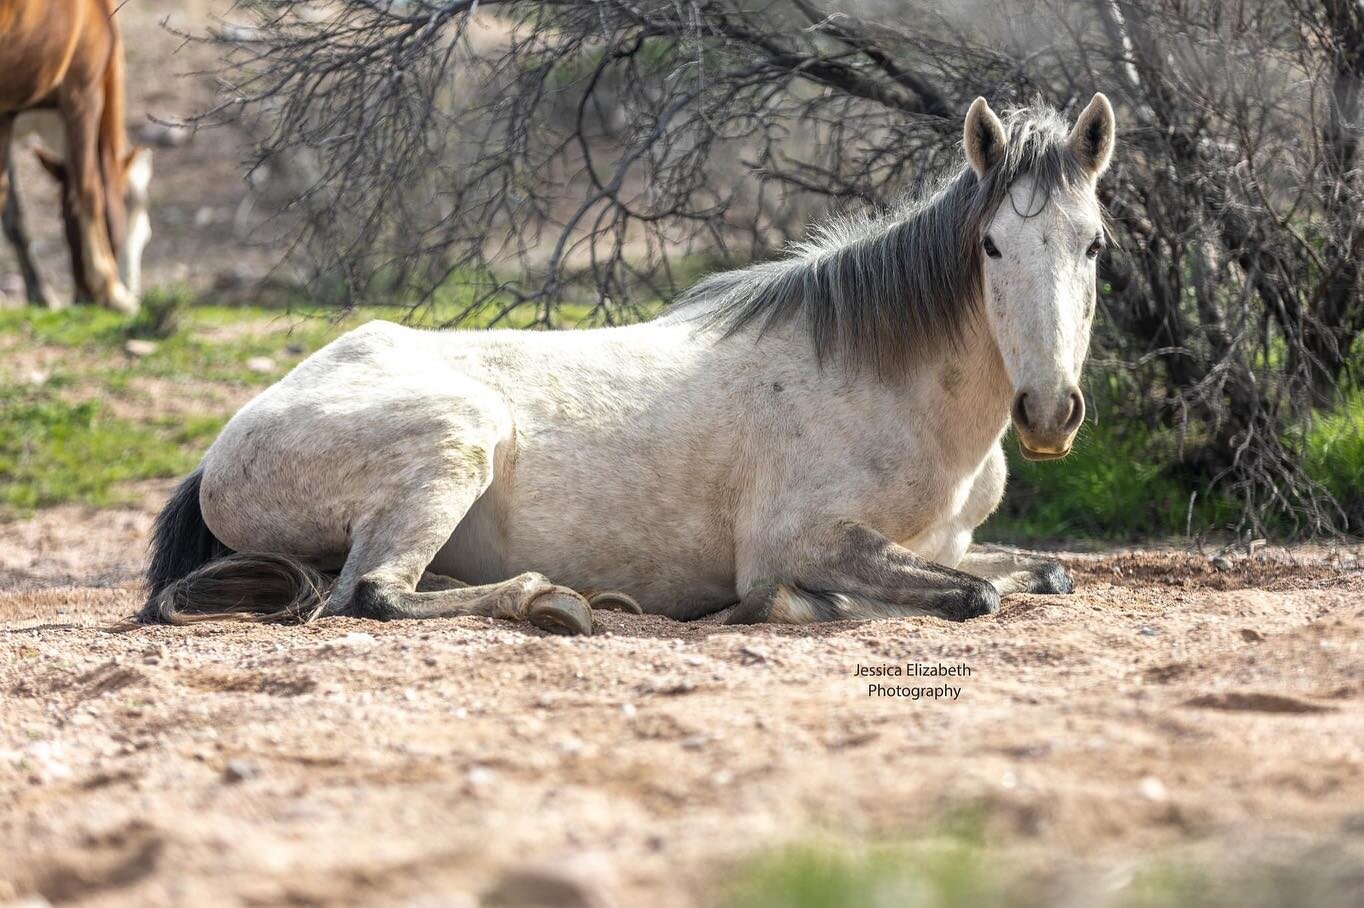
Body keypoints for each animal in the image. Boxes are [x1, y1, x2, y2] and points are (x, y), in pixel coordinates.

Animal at [0, 0, 143, 313]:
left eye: (60, 214)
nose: (83, 299)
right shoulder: (82, 92)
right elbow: (89, 189)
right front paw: (112, 290)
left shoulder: (6, 115)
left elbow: (9, 209)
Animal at [143, 92, 1113, 629]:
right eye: (990, 246)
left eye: (1094, 244)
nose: (1048, 413)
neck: (890, 387)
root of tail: (224, 447)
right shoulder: (800, 540)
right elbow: (965, 595)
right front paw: (785, 604)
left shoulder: (954, 542)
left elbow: (1038, 572)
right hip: (457, 435)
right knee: (372, 593)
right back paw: (553, 601)